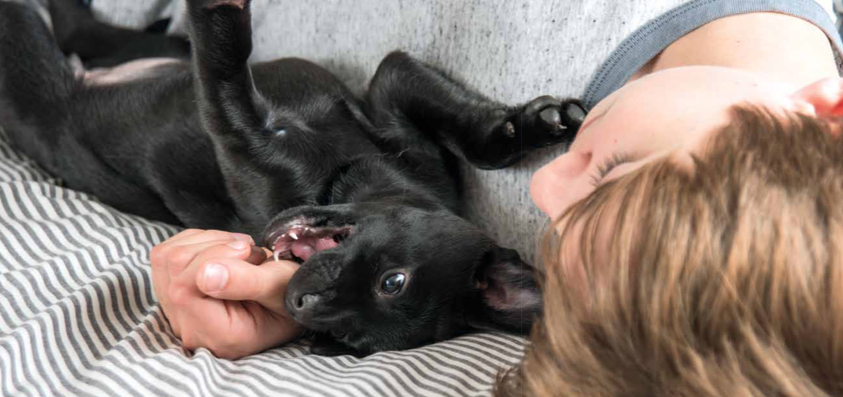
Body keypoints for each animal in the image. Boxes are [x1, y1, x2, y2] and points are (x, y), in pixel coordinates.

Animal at [0, 0, 588, 352]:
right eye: (393, 280)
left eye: (344, 342)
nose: (300, 303)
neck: (343, 176)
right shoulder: (395, 103)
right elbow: (460, 125)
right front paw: (530, 126)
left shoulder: (242, 140)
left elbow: (224, 93)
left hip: (34, 67)